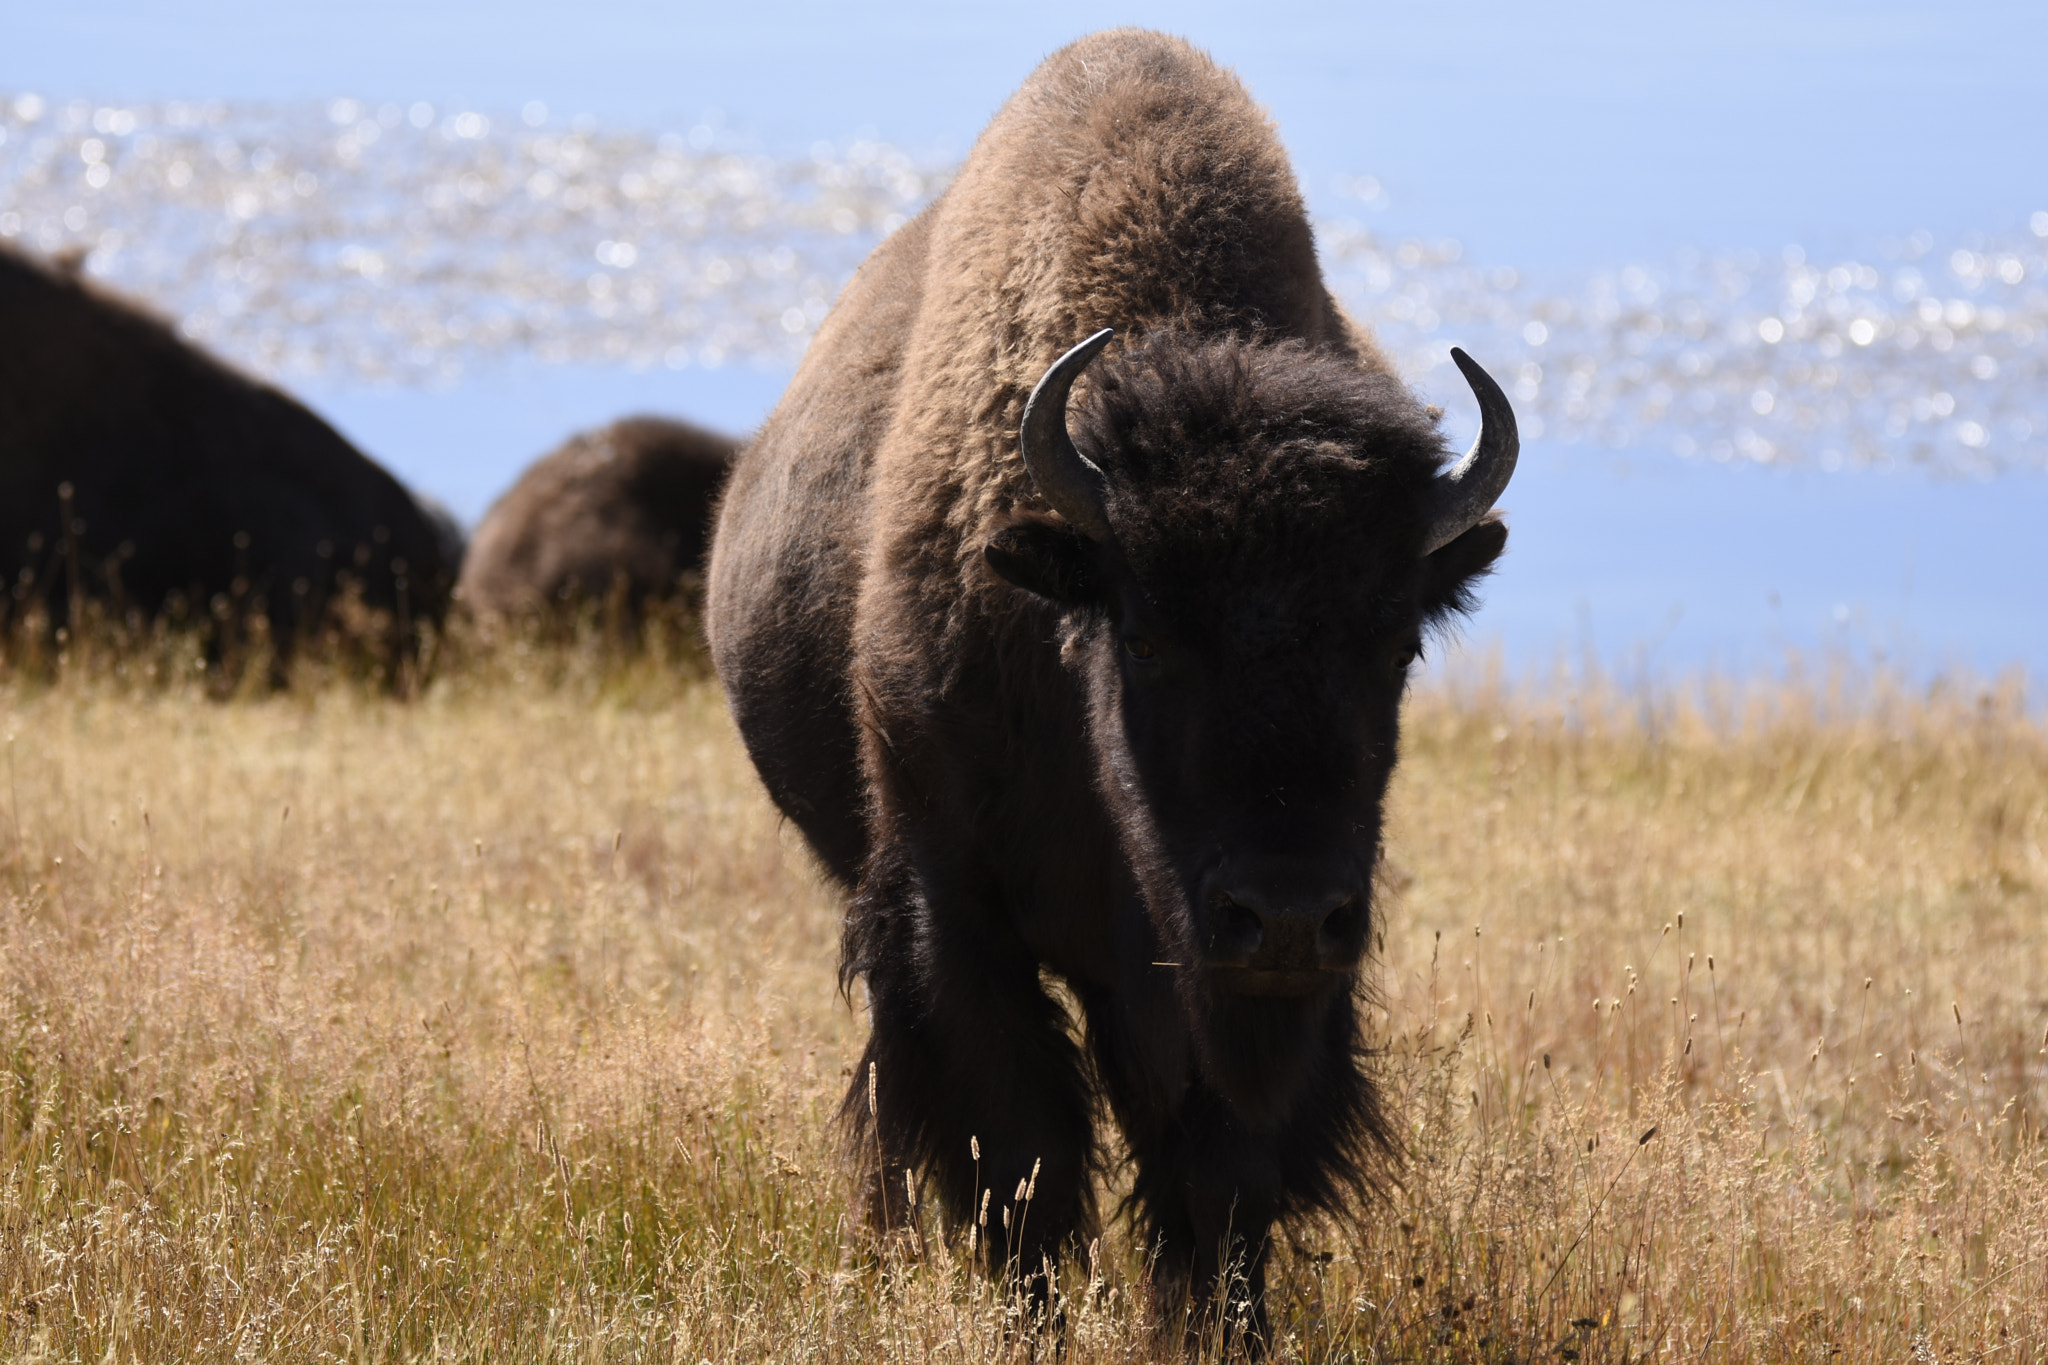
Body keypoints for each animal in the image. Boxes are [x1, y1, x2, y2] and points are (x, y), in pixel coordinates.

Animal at [708, 30, 1516, 1335]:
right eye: (1143, 638)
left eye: (1396, 645)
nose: (1283, 918)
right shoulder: (955, 910)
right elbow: (1017, 1155)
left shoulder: (1230, 986)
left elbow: (1219, 1175)